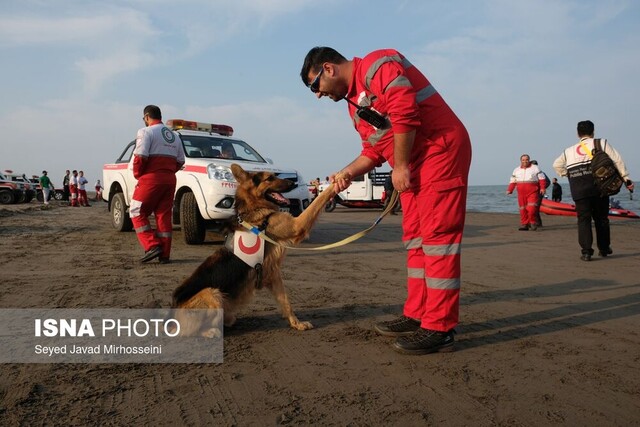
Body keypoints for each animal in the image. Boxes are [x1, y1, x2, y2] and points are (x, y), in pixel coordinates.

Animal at [172, 164, 338, 338]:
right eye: (269, 178)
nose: (293, 183)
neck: (255, 206)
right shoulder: (297, 225)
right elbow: (319, 199)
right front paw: (338, 180)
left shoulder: (273, 274)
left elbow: (286, 302)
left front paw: (296, 323)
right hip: (212, 293)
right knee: (189, 332)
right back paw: (211, 331)